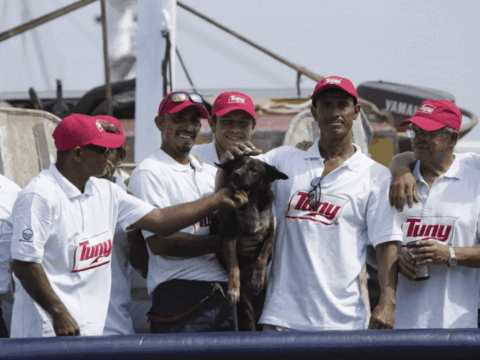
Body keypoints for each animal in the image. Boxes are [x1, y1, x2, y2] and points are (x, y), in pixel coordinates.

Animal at [211, 156, 286, 330]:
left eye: (254, 170)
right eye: (237, 165)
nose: (235, 174)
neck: (250, 200)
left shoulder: (269, 235)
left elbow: (262, 257)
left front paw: (257, 278)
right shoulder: (229, 238)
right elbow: (234, 267)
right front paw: (233, 290)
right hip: (247, 313)